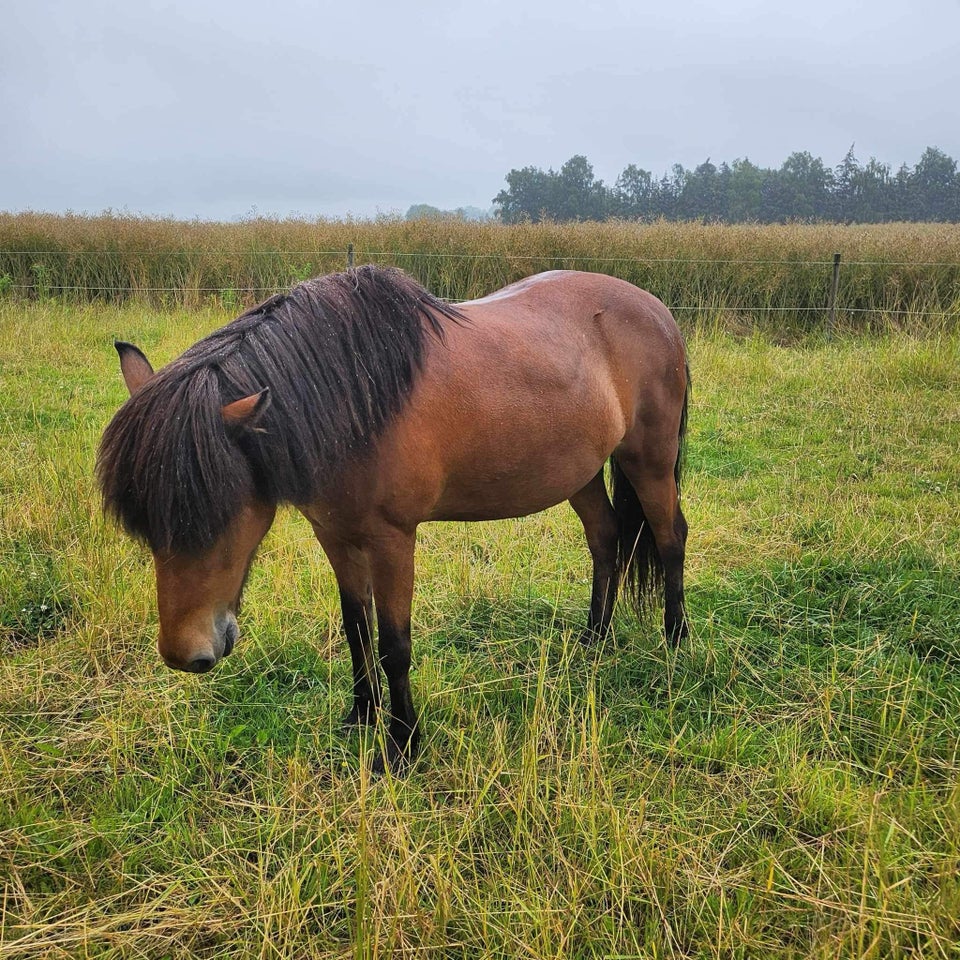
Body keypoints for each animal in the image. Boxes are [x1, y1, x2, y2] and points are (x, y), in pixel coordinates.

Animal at [97, 266, 688, 776]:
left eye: (212, 517)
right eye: (147, 527)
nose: (185, 654)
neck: (355, 395)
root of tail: (657, 310)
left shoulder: (392, 540)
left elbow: (393, 645)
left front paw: (402, 747)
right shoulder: (335, 535)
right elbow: (356, 628)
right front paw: (361, 716)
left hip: (649, 461)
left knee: (669, 537)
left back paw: (674, 642)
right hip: (580, 472)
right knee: (605, 537)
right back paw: (594, 640)